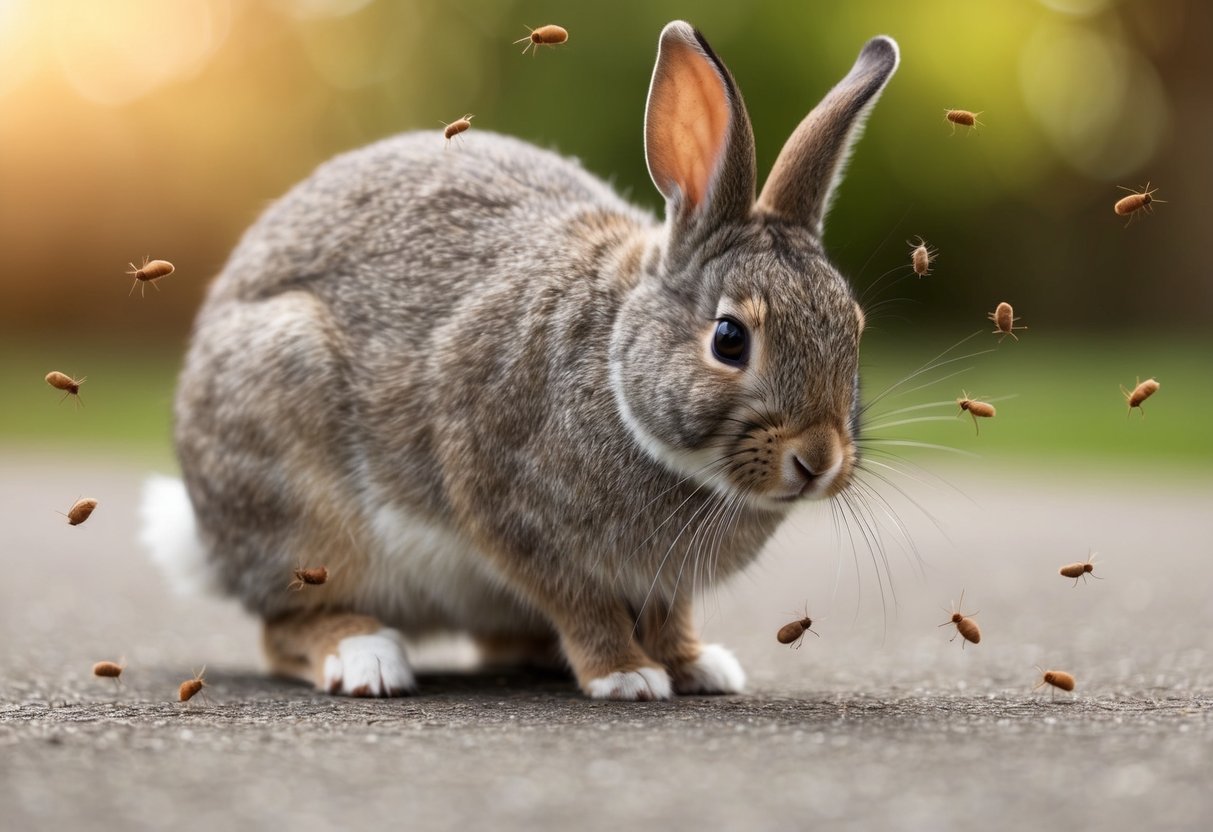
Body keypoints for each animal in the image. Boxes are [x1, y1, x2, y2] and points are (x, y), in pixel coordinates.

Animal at [144, 19, 902, 698]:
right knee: (284, 627)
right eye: (729, 339)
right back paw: (366, 659)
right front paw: (625, 676)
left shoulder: (662, 583)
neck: (614, 366)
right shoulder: (504, 504)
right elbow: (580, 602)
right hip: (300, 486)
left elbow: (668, 616)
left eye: (854, 327)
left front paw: (696, 668)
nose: (817, 459)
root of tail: (208, 541)